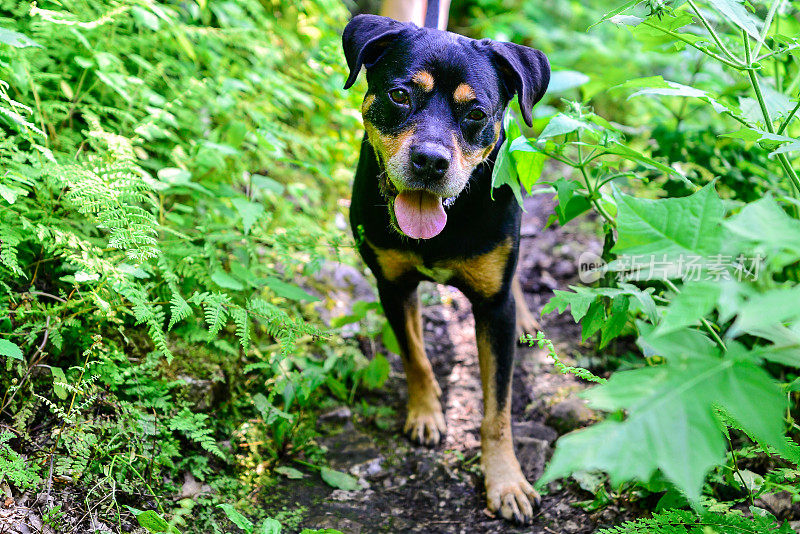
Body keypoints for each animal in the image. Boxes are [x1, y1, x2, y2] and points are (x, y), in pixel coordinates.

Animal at [344, 14, 552, 524]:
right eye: (400, 94)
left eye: (475, 112)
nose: (430, 161)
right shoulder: (391, 285)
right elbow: (415, 355)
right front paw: (424, 413)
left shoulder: (493, 309)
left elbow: (497, 410)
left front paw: (505, 482)